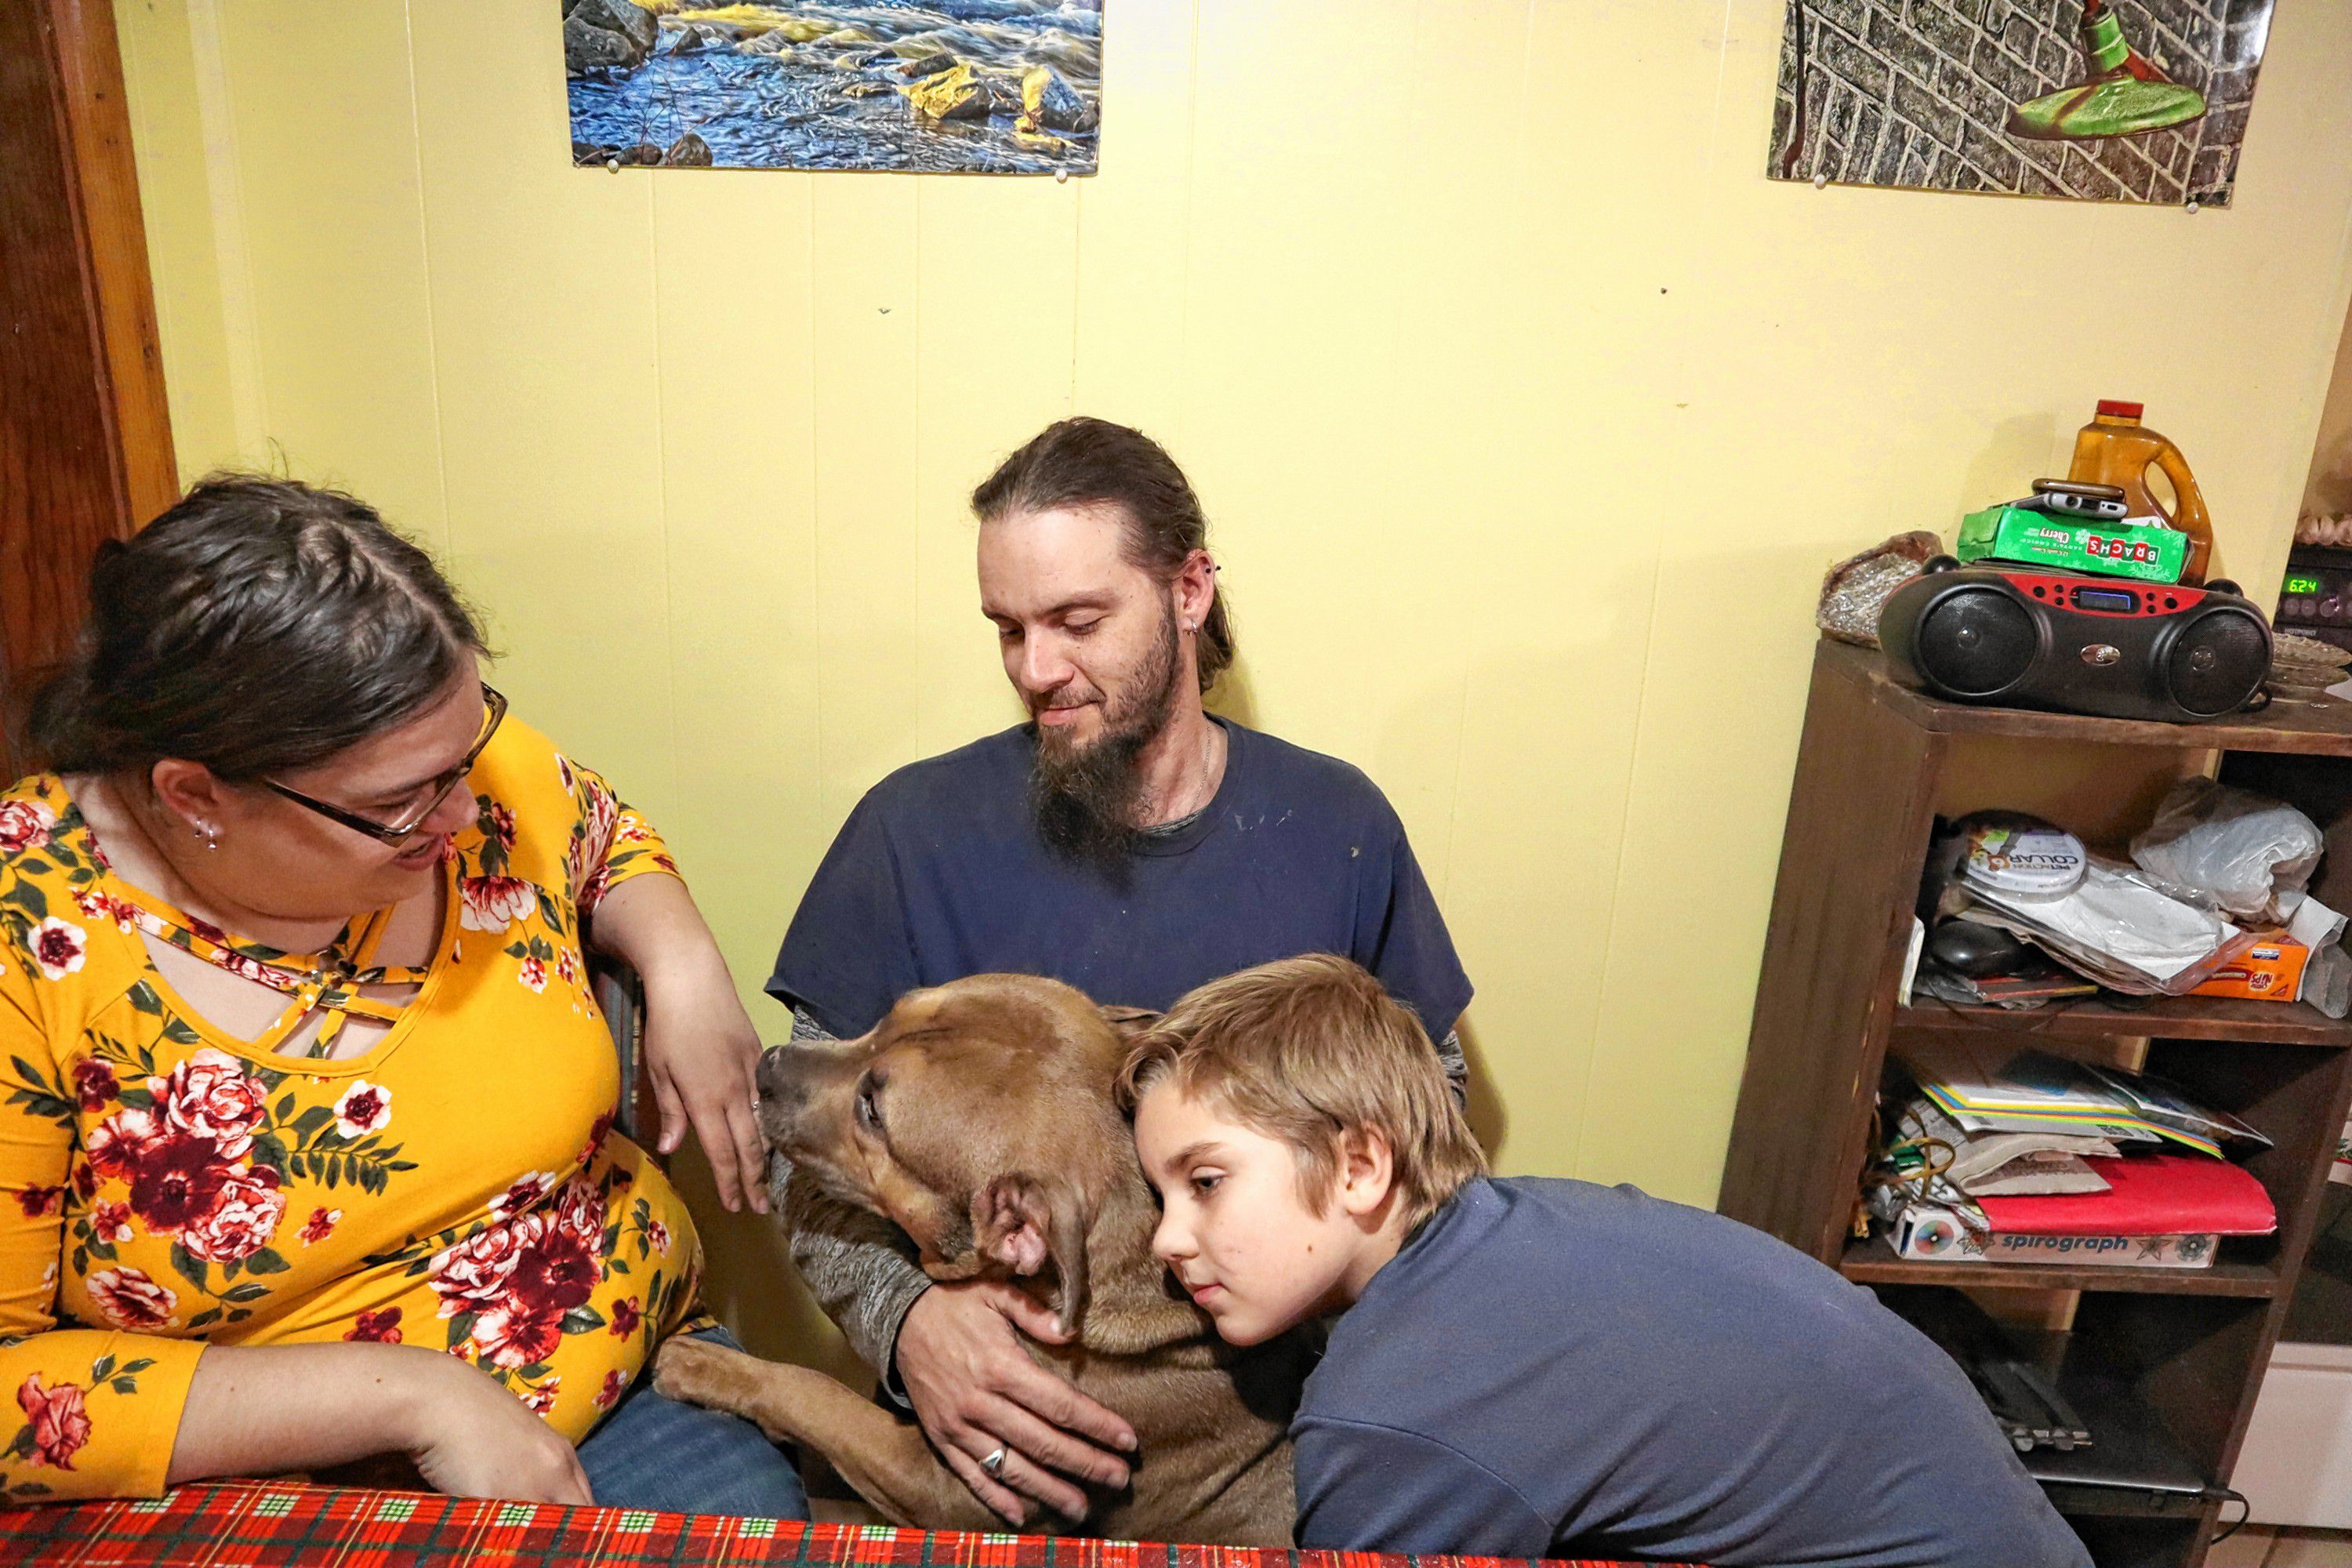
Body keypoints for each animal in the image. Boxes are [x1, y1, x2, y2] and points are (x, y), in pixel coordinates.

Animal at [649, 968, 1308, 1542]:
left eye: (872, 1112)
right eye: (889, 1014)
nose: (767, 1062)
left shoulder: (944, 1487)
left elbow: (817, 1394)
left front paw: (707, 1366)